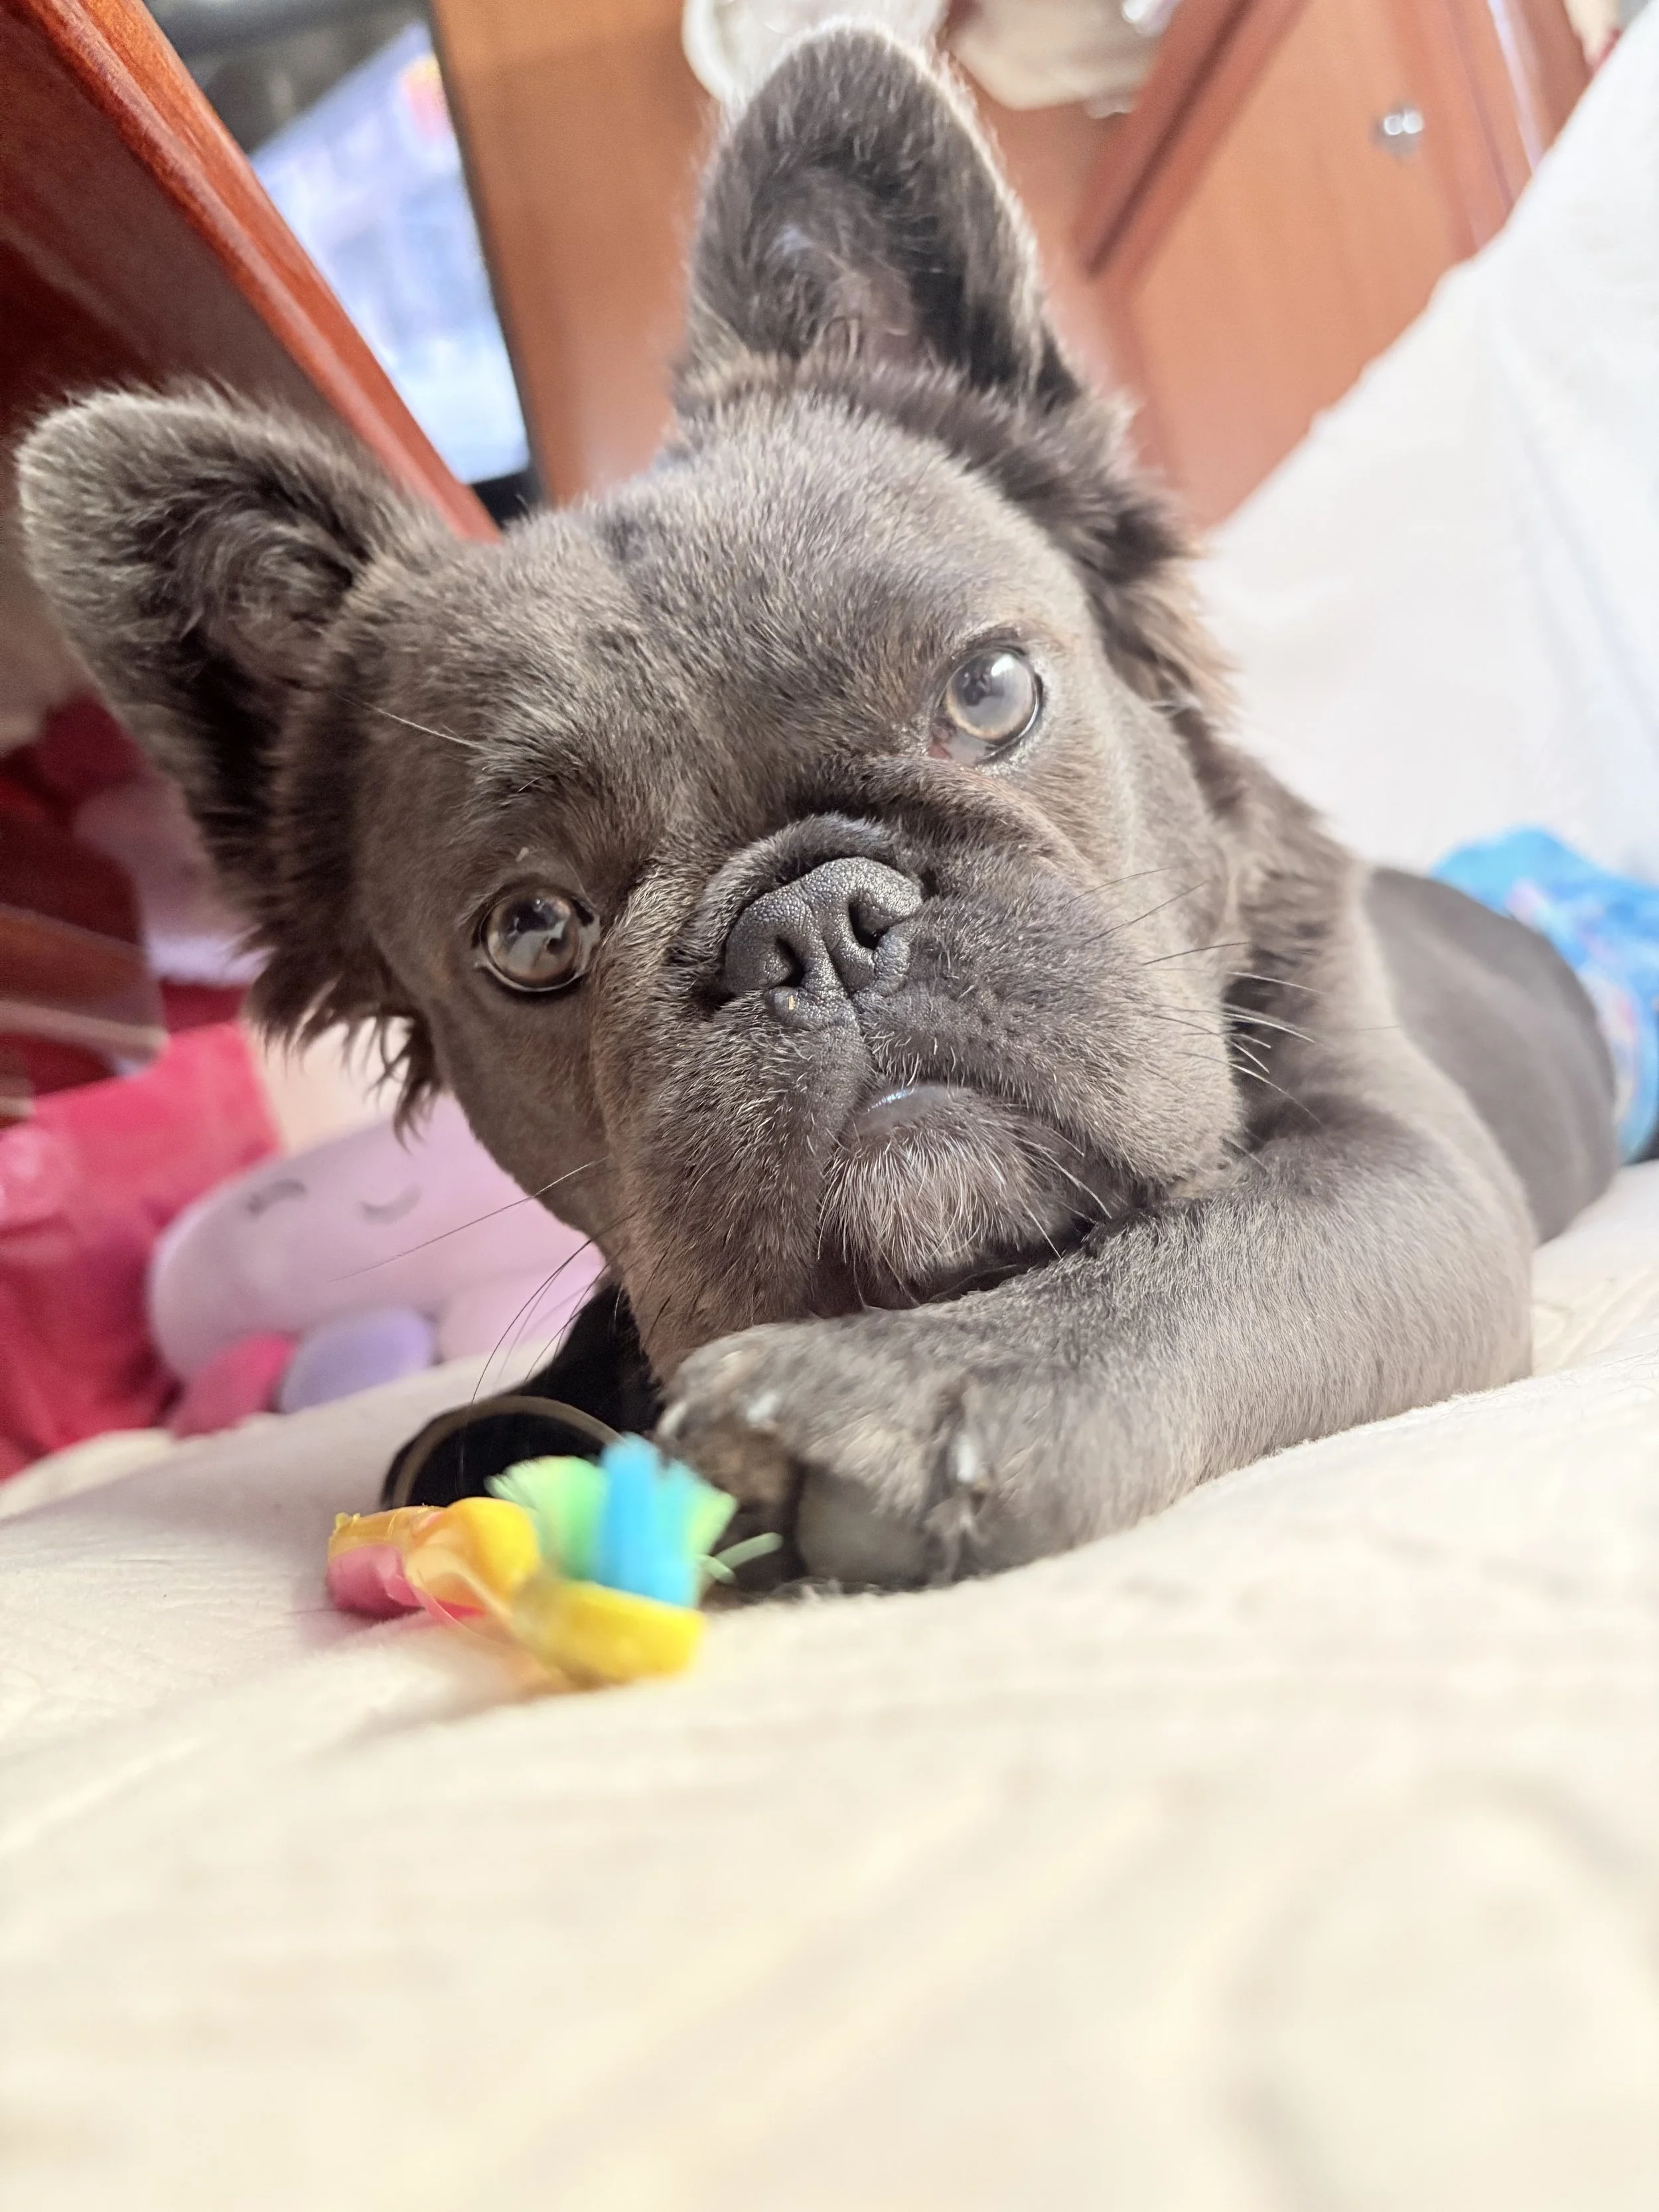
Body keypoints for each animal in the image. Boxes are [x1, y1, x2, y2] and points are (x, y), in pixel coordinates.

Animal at [18, 26, 1615, 1587]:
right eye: (530, 934)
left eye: (990, 691)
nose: (812, 922)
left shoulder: (1399, 1176)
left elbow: (1211, 1249)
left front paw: (928, 1386)